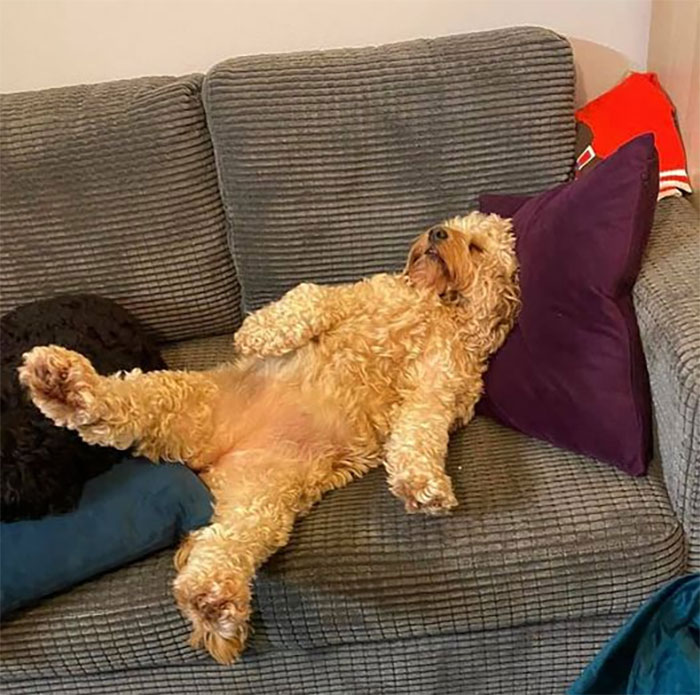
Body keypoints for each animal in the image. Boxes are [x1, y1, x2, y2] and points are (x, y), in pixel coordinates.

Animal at [19, 211, 520, 664]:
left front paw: (422, 487)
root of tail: (215, 458)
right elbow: (310, 297)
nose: (436, 233)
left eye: (476, 246)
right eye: (451, 226)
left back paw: (213, 600)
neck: (436, 305)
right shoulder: (359, 293)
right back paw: (63, 382)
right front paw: (258, 334)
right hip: (177, 400)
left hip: (259, 500)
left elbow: (420, 433)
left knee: (222, 547)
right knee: (113, 403)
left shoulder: (439, 389)